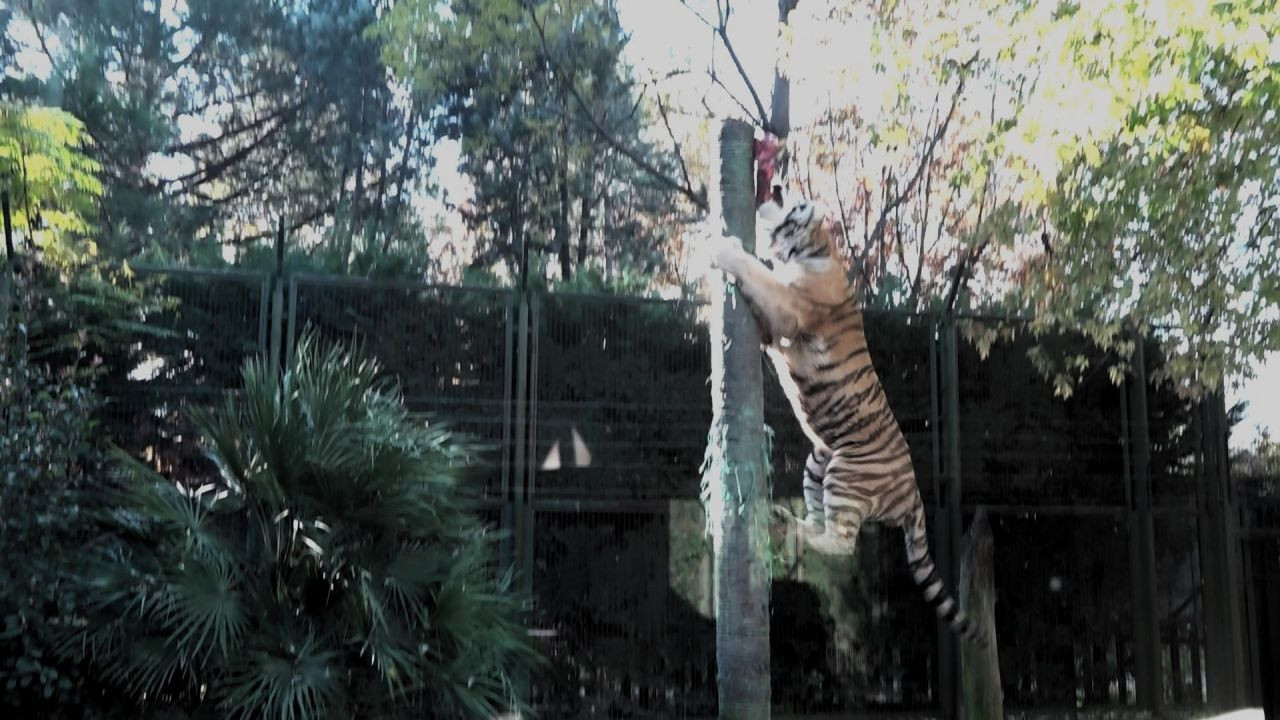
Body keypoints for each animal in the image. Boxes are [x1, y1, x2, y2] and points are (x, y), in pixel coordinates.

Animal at [696, 196, 983, 645]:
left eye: (794, 203)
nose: (776, 189)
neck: (808, 250)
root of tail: (914, 495)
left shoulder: (791, 307)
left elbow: (758, 272)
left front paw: (724, 248)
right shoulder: (774, 323)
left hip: (847, 473)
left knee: (843, 545)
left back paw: (793, 528)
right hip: (818, 461)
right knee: (822, 527)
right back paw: (788, 523)